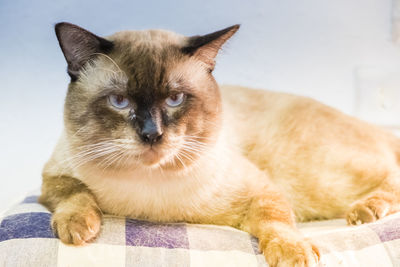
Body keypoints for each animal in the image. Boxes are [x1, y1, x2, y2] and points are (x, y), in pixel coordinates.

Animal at [39, 22, 400, 266]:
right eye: (119, 101)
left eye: (175, 99)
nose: (152, 134)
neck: (149, 191)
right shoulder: (53, 177)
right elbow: (74, 194)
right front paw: (76, 229)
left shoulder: (261, 191)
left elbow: (276, 221)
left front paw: (293, 254)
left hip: (319, 179)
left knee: (390, 174)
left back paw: (365, 211)